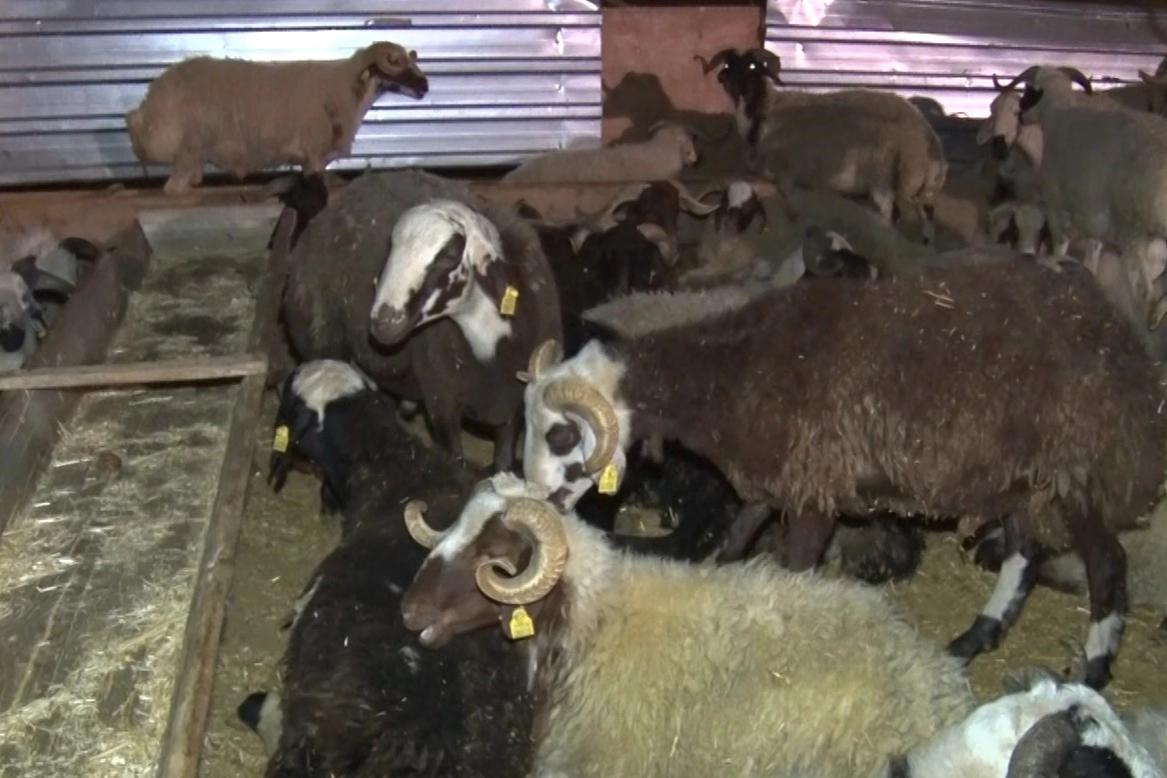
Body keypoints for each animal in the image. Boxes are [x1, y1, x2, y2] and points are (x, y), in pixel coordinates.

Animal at [125, 41, 429, 195]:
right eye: (396, 62)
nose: (425, 86)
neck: (347, 88)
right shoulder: (314, 151)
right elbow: (318, 180)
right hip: (188, 147)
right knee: (172, 188)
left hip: (192, 149)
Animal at [283, 168, 563, 472]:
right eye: (391, 248)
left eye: (450, 254)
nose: (384, 322)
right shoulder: (442, 405)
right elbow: (455, 459)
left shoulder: (514, 405)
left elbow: (503, 461)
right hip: (324, 344)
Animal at [517, 257, 1167, 690]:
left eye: (561, 435)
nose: (539, 501)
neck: (729, 374)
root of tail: (1118, 332)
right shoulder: (772, 480)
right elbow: (731, 548)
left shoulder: (813, 492)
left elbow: (793, 572)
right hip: (1022, 476)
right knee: (1024, 555)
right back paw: (972, 639)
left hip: (1078, 469)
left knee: (1107, 565)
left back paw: (1093, 671)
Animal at [696, 47, 948, 232]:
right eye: (727, 65)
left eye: (752, 66)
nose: (730, 81)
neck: (764, 112)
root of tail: (931, 138)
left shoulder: (787, 173)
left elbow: (788, 201)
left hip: (888, 178)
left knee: (892, 212)